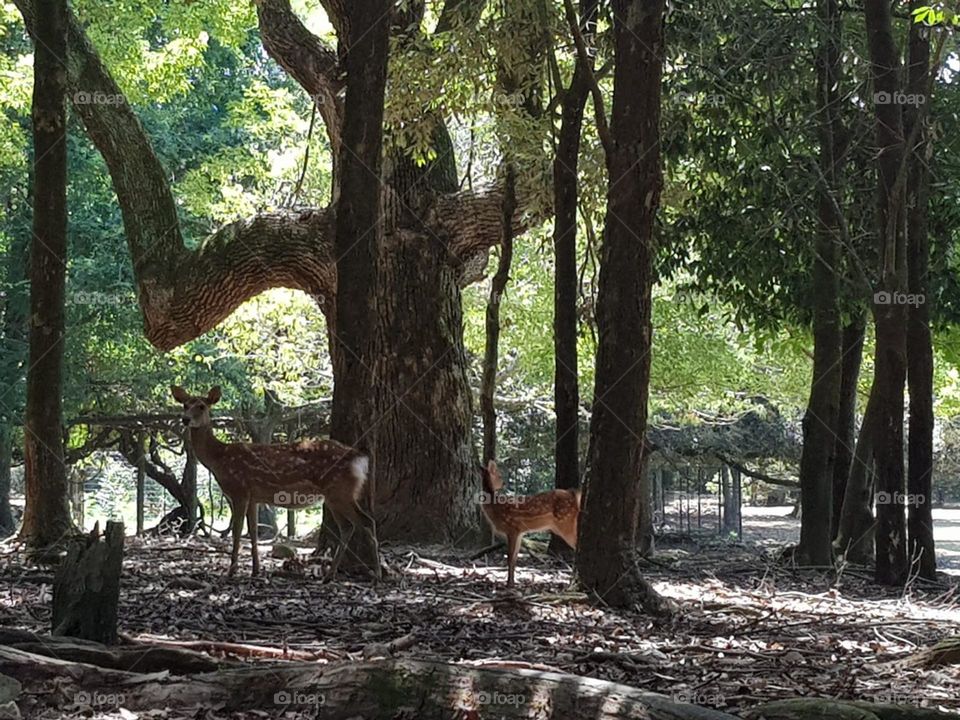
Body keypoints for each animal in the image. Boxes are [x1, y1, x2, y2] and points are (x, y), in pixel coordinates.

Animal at [171, 388, 380, 580]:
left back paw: (376, 573)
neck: (219, 458)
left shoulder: (240, 490)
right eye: (185, 405)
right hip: (335, 494)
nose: (185, 419)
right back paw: (330, 575)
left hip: (339, 491)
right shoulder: (253, 497)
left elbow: (237, 532)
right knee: (349, 527)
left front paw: (231, 571)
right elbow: (253, 531)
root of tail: (360, 458)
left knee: (365, 521)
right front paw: (255, 570)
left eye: (202, 406)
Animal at [478, 458, 576, 588]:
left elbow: (510, 557)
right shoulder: (520, 532)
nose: (503, 483)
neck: (497, 509)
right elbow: (514, 557)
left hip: (566, 522)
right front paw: (512, 582)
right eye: (499, 475)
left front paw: (509, 584)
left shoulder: (512, 528)